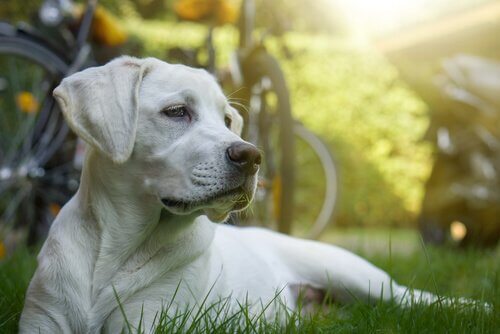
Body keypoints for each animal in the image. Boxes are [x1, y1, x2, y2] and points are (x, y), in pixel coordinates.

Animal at [20, 56, 454, 332]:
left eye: (227, 119)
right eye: (176, 111)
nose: (252, 156)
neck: (116, 251)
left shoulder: (150, 319)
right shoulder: (44, 318)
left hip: (358, 276)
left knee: (416, 298)